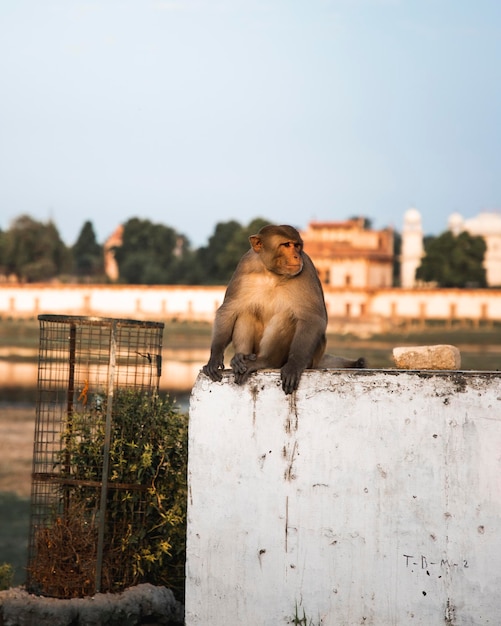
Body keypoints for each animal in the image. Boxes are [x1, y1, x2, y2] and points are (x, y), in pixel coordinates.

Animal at [202, 222, 364, 392]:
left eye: (297, 246)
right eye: (286, 245)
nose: (296, 256)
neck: (271, 272)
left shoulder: (306, 268)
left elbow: (313, 317)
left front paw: (294, 364)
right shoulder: (245, 264)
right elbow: (229, 310)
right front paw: (215, 357)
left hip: (311, 357)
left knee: (287, 316)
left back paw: (265, 361)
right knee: (246, 312)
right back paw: (240, 358)